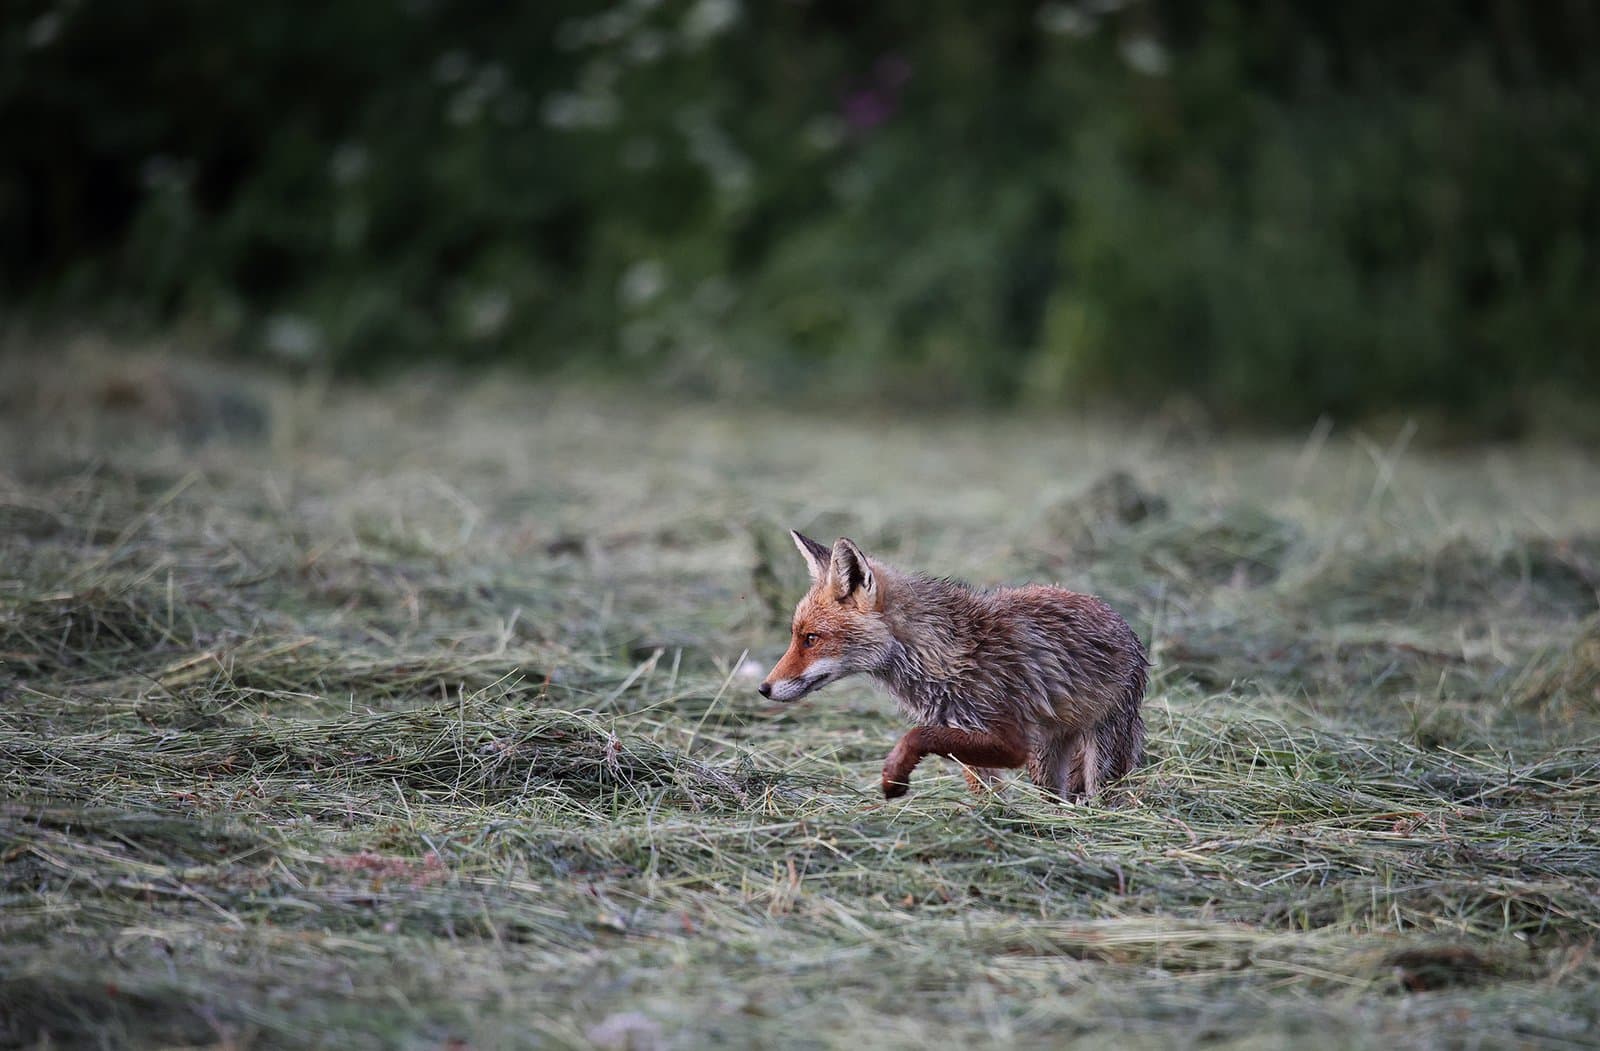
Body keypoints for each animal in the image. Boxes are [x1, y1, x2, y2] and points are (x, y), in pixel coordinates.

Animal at [758, 531, 1147, 802]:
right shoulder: (971, 739)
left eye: (810, 638)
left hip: (1100, 755)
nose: (763, 688)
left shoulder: (1011, 740)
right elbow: (986, 795)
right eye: (797, 635)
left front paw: (894, 774)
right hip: (1045, 759)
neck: (941, 654)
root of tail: (1119, 618)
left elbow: (917, 735)